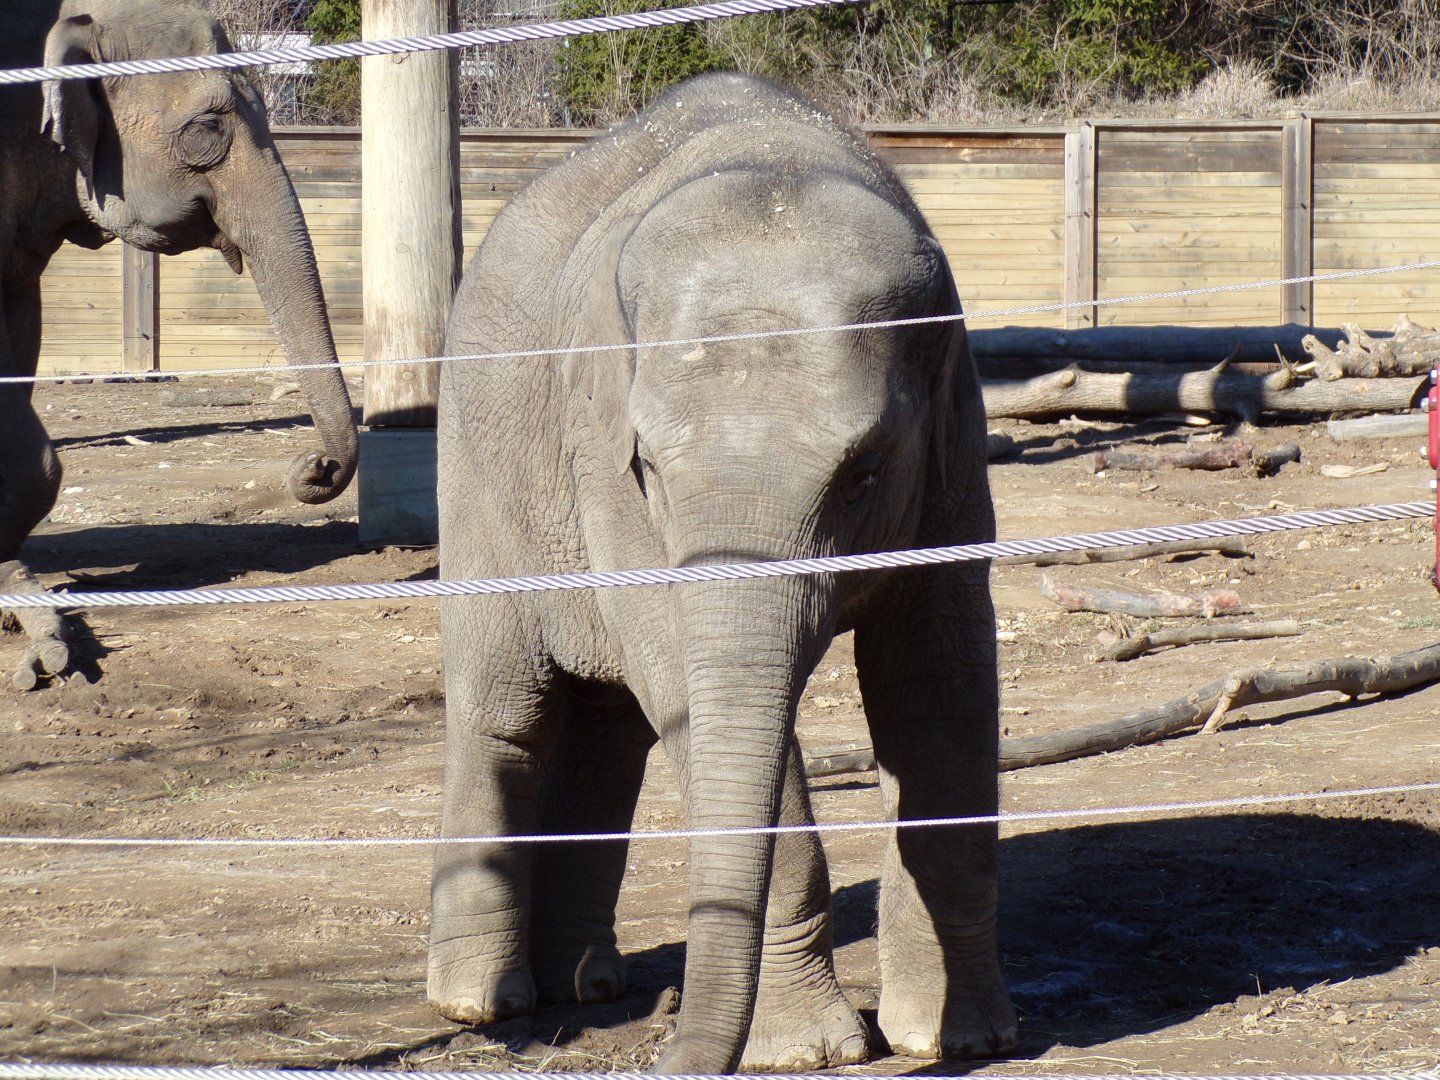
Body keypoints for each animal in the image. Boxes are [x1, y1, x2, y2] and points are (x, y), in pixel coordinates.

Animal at [431, 72, 1017, 1074]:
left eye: (864, 473)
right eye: (648, 468)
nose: (675, 1048)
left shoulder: (953, 448)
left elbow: (940, 679)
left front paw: (963, 1035)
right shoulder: (600, 451)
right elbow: (684, 678)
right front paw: (809, 1052)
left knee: (611, 727)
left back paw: (585, 985)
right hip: (478, 468)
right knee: (507, 709)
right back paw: (481, 1001)